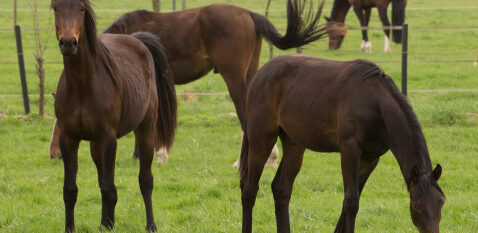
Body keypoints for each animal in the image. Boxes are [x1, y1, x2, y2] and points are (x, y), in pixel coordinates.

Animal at [50, 0, 330, 167]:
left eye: (58, 124)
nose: (54, 154)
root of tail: (249, 14)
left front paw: (154, 154)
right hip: (251, 74)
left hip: (233, 77)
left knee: (243, 114)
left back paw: (247, 161)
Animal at [51, 0, 177, 231]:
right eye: (55, 7)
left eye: (81, 9)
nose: (68, 43)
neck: (82, 84)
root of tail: (138, 41)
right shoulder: (68, 139)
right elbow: (71, 190)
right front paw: (72, 227)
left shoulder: (108, 139)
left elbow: (109, 189)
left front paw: (108, 225)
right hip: (95, 144)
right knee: (103, 179)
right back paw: (106, 221)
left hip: (145, 130)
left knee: (145, 180)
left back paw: (150, 225)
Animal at [239, 53, 444, 232]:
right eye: (417, 205)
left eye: (441, 202)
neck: (374, 102)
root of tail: (259, 75)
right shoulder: (349, 150)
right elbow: (352, 201)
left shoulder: (370, 159)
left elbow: (350, 201)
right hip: (261, 139)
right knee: (249, 190)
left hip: (294, 144)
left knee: (281, 188)